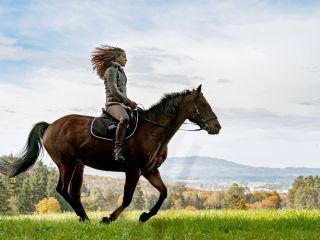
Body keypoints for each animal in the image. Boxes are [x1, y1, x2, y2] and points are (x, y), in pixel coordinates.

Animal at [0, 85, 220, 223]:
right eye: (202, 105)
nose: (217, 127)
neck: (152, 130)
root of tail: (50, 126)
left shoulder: (150, 171)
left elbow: (164, 192)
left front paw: (144, 216)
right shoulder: (134, 170)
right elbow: (127, 198)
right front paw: (108, 219)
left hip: (78, 165)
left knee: (74, 192)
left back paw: (84, 218)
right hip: (66, 164)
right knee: (62, 189)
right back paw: (85, 218)